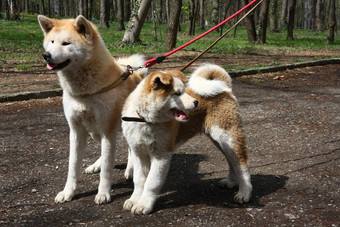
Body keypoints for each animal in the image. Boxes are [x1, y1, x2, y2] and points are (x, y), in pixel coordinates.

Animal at [37, 15, 147, 204]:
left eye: (66, 43)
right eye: (51, 42)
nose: (46, 55)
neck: (86, 92)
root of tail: (136, 74)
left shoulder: (107, 131)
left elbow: (107, 170)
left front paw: (103, 193)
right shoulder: (76, 131)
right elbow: (73, 167)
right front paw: (68, 192)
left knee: (130, 149)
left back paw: (130, 169)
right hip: (96, 132)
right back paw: (97, 164)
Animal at [121, 63, 251, 215]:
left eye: (183, 91)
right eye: (177, 94)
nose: (196, 102)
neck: (145, 120)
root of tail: (225, 88)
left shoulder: (161, 155)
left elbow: (152, 182)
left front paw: (144, 204)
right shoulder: (138, 153)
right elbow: (139, 180)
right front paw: (134, 200)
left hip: (229, 137)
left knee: (242, 165)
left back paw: (244, 193)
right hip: (220, 141)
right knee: (232, 161)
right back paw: (231, 182)